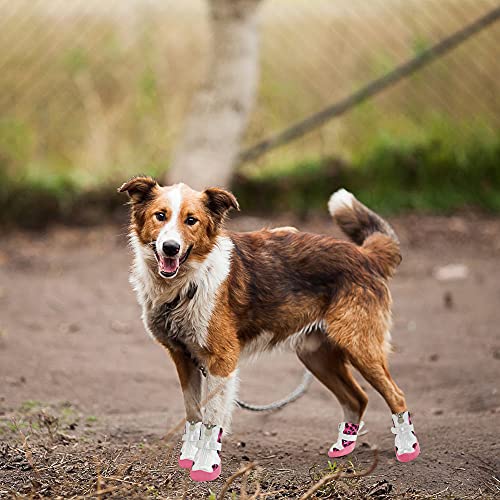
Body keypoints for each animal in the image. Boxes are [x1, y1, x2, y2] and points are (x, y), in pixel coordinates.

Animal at [119, 176, 420, 480]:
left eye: (191, 220)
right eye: (160, 216)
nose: (170, 247)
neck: (186, 283)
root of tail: (365, 254)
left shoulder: (221, 361)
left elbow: (212, 420)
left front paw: (205, 466)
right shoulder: (183, 357)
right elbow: (194, 413)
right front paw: (188, 457)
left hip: (359, 346)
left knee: (396, 395)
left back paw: (407, 449)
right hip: (316, 356)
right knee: (357, 398)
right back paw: (343, 446)